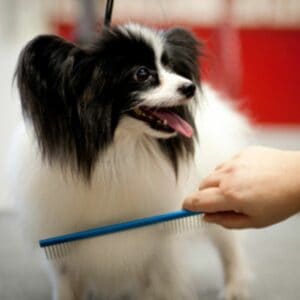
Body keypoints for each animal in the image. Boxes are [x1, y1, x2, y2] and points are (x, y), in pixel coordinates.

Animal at [11, 24, 250, 300]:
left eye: (170, 67)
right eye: (142, 73)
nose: (189, 86)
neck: (117, 154)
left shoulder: (159, 247)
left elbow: (163, 285)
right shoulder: (64, 253)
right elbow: (66, 289)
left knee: (230, 247)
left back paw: (234, 288)